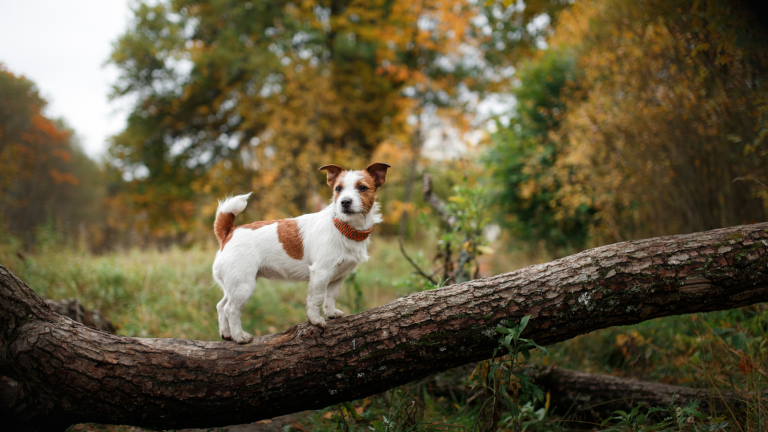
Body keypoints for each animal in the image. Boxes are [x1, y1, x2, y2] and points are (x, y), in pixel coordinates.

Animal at [210, 162, 390, 344]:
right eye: (338, 189)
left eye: (362, 187)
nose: (345, 202)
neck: (342, 226)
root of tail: (229, 232)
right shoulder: (320, 273)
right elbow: (316, 298)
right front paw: (315, 320)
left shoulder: (337, 276)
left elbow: (330, 296)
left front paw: (331, 313)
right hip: (243, 285)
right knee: (230, 309)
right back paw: (239, 336)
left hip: (234, 285)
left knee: (220, 305)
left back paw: (226, 333)